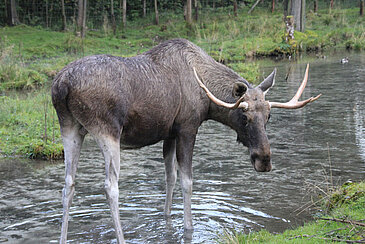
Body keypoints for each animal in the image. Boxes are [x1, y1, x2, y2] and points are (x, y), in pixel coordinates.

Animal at [51, 39, 318, 243]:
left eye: (269, 116)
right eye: (244, 116)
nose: (264, 160)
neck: (208, 99)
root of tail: (62, 85)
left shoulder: (169, 133)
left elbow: (170, 177)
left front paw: (168, 220)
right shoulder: (188, 129)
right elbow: (187, 181)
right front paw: (188, 227)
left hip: (70, 128)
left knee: (68, 184)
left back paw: (63, 238)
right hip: (107, 131)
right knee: (110, 187)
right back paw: (121, 238)